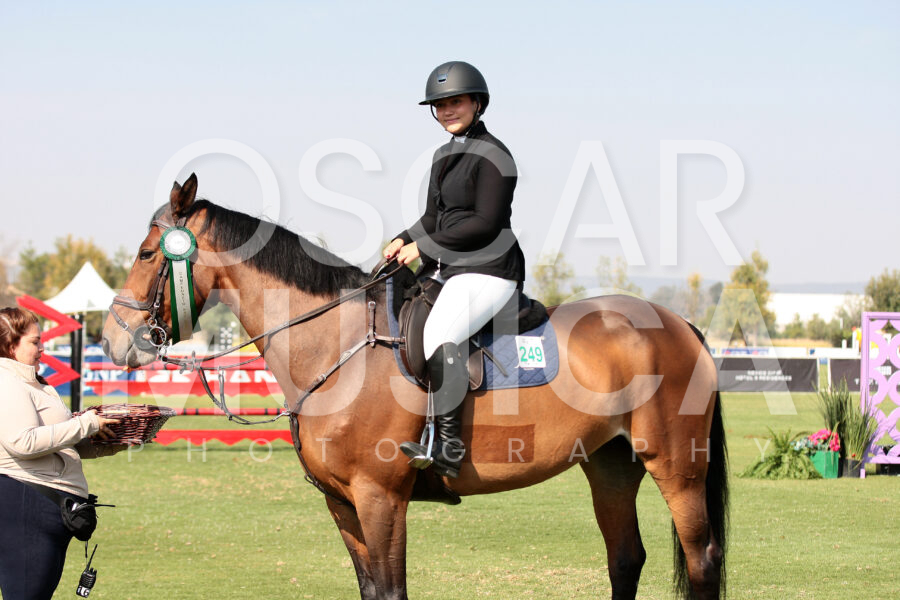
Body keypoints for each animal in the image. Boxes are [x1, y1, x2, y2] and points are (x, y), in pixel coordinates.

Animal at [101, 174, 728, 600]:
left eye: (148, 253)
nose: (114, 340)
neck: (336, 346)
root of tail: (678, 324)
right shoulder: (341, 502)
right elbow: (370, 590)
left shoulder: (380, 497)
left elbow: (392, 590)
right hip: (612, 466)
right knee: (625, 558)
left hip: (677, 467)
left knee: (702, 559)